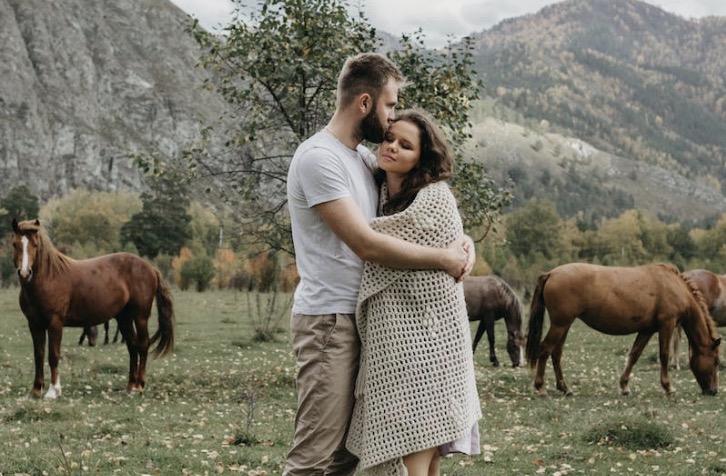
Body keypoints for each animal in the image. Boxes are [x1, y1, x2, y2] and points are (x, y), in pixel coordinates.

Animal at [12, 218, 176, 398]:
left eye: (35, 245)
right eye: (14, 244)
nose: (25, 273)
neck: (49, 277)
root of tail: (151, 268)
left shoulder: (55, 323)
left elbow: (53, 355)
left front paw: (53, 391)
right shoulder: (34, 324)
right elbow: (38, 355)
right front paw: (35, 390)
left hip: (140, 316)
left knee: (143, 345)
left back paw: (139, 386)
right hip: (124, 318)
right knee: (132, 346)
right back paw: (130, 385)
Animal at [528, 262, 724, 396]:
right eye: (715, 361)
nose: (713, 391)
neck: (674, 286)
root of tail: (551, 273)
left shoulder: (647, 330)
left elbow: (634, 355)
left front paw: (624, 386)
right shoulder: (666, 325)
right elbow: (664, 355)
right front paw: (668, 387)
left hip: (564, 325)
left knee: (556, 353)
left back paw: (565, 388)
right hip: (560, 324)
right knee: (545, 349)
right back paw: (541, 387)